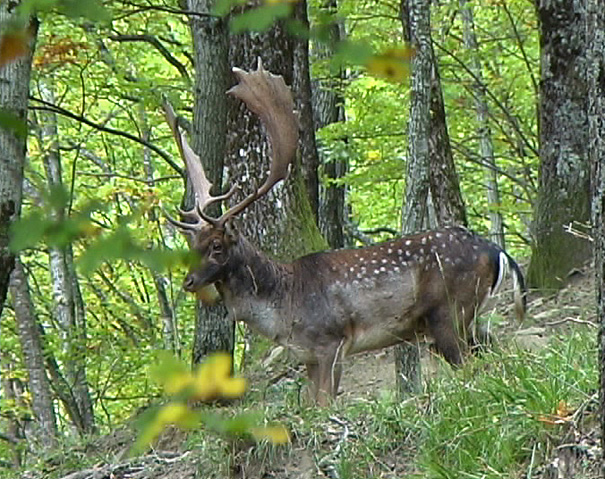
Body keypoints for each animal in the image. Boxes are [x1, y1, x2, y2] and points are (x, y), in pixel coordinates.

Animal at [163, 60, 528, 404]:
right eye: (193, 244)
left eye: (217, 245)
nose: (189, 282)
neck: (284, 308)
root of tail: (498, 252)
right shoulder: (308, 355)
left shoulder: (332, 341)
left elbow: (326, 403)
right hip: (469, 315)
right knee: (494, 353)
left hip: (449, 311)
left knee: (471, 364)